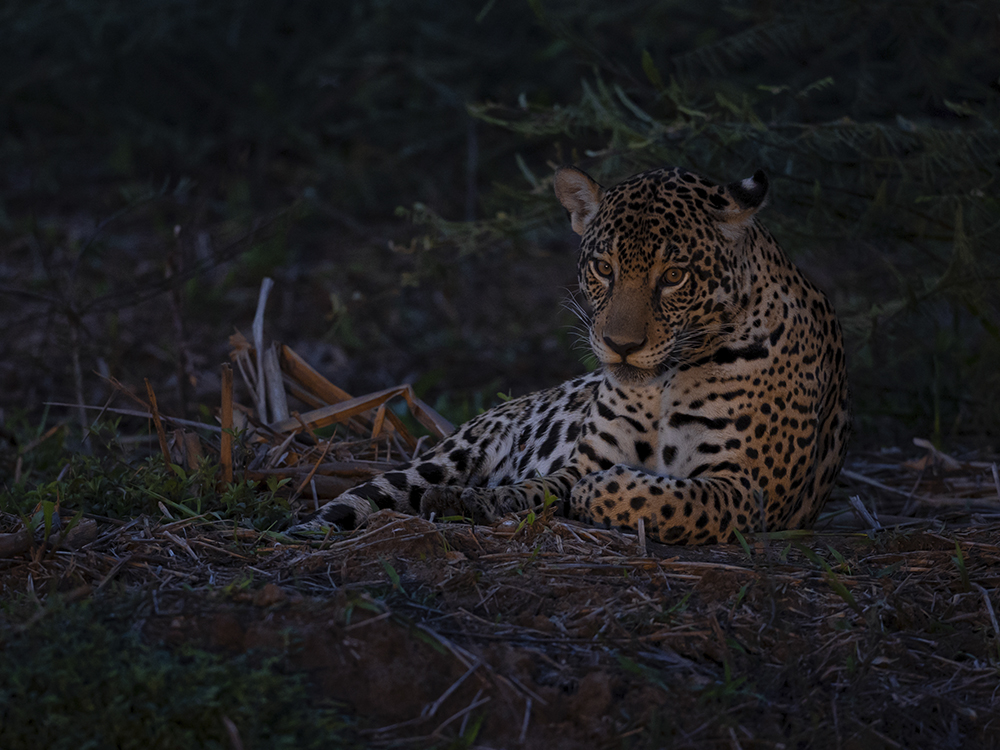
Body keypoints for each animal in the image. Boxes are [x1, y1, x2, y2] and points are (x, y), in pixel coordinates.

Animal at [290, 165, 851, 544]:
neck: (665, 385)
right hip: (445, 455)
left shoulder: (747, 488)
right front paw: (478, 500)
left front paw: (599, 494)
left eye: (674, 276)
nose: (622, 346)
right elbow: (537, 488)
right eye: (603, 268)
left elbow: (665, 497)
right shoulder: (587, 457)